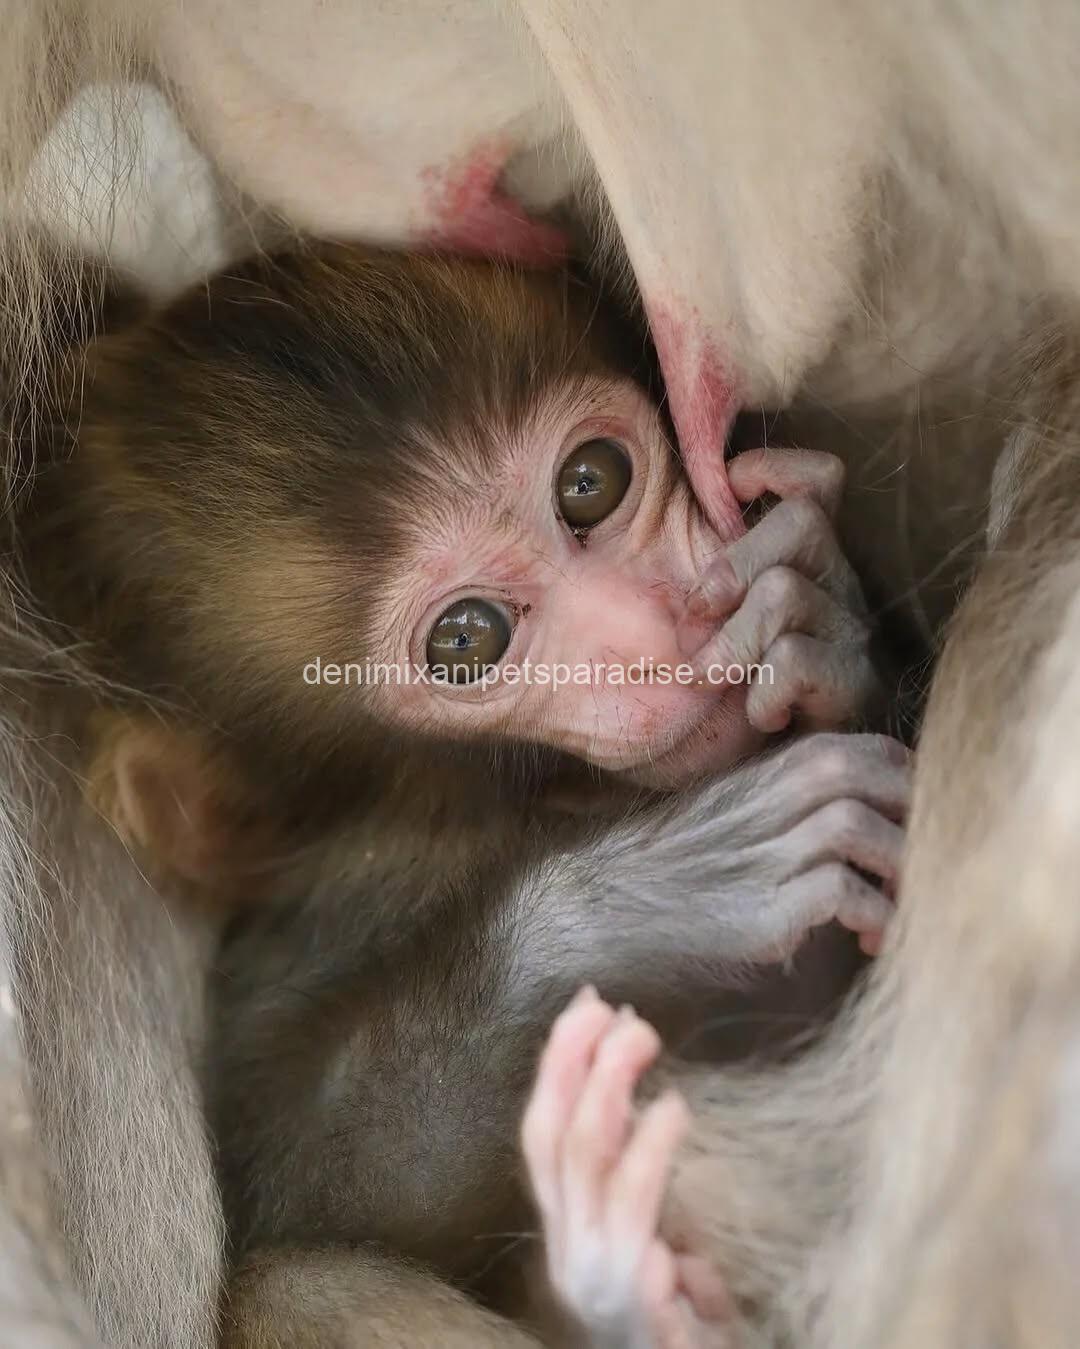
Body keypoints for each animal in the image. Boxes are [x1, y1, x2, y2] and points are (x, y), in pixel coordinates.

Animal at [6, 4, 1080, 1348]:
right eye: (465, 641)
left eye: (590, 484)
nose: (655, 622)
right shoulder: (338, 895)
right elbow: (293, 1176)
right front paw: (638, 896)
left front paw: (816, 622)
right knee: (293, 1278)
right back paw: (613, 1266)